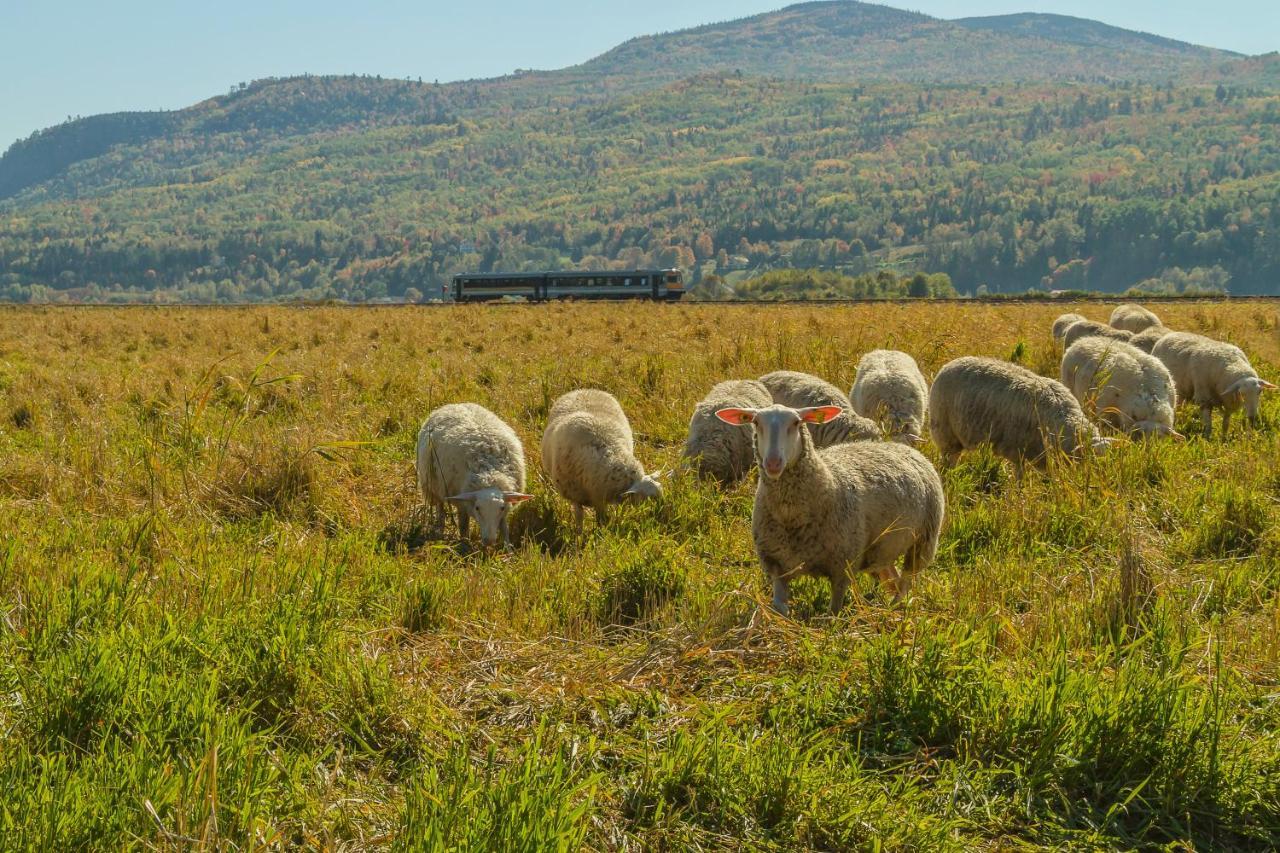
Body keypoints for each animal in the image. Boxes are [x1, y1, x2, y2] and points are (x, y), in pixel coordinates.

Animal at [412, 402, 527, 548]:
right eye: (477, 508)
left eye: (501, 508)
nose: (489, 541)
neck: (489, 474)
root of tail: (455, 404)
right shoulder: (462, 503)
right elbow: (463, 525)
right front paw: (464, 545)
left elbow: (504, 527)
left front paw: (508, 549)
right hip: (434, 484)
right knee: (440, 509)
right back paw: (440, 532)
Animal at [537, 386, 660, 532]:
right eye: (649, 498)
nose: (660, 513)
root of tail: (583, 389)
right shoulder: (576, 495)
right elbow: (579, 517)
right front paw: (579, 535)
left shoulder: (599, 497)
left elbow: (601, 519)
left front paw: (602, 533)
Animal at [716, 399, 947, 607]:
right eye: (756, 422)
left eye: (797, 423)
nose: (773, 463)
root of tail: (901, 447)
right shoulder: (777, 566)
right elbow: (780, 609)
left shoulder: (842, 567)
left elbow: (834, 612)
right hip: (881, 549)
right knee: (891, 575)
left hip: (923, 541)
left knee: (906, 581)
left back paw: (893, 608)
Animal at [931, 353, 1111, 471]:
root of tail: (951, 363)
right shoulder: (1017, 450)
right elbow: (1019, 476)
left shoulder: (1041, 457)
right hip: (946, 433)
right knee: (948, 460)